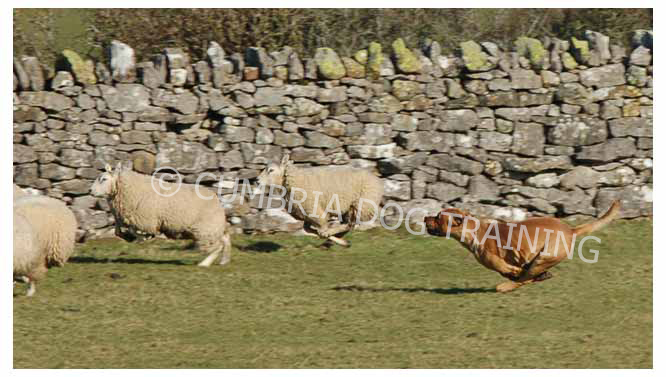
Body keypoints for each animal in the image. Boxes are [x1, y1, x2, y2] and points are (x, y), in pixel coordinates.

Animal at [89, 163, 231, 266]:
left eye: (104, 179)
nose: (90, 191)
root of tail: (216, 200)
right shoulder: (126, 217)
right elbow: (117, 231)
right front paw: (130, 237)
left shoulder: (145, 219)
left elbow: (135, 231)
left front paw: (142, 238)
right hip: (211, 228)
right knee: (225, 239)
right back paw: (224, 261)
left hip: (205, 229)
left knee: (217, 246)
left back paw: (204, 264)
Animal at [255, 153, 384, 247]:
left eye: (271, 170)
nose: (256, 180)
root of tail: (377, 179)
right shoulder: (307, 213)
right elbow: (307, 229)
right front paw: (330, 238)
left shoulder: (315, 211)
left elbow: (320, 230)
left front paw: (326, 234)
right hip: (349, 207)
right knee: (349, 225)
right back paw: (340, 240)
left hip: (360, 205)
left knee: (349, 224)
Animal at [422, 201, 620, 292]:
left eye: (438, 217)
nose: (425, 217)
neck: (474, 231)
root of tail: (571, 230)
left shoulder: (503, 264)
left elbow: (514, 272)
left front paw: (515, 275)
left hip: (544, 256)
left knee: (524, 278)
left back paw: (507, 286)